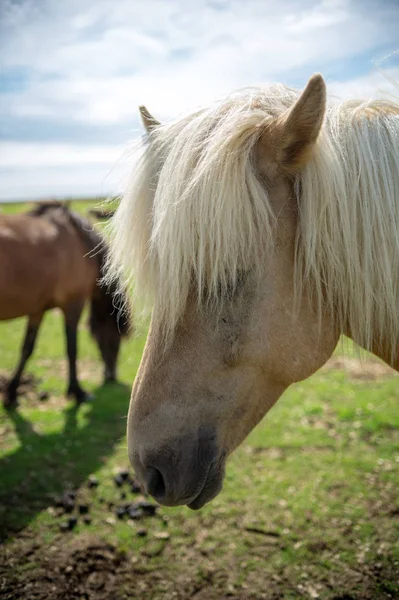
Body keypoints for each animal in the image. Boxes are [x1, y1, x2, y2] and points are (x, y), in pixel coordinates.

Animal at [0, 203, 131, 408]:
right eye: (115, 338)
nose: (111, 375)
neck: (78, 241)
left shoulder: (37, 310)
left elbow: (27, 349)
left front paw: (12, 393)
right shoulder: (73, 305)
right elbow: (72, 348)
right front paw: (78, 392)